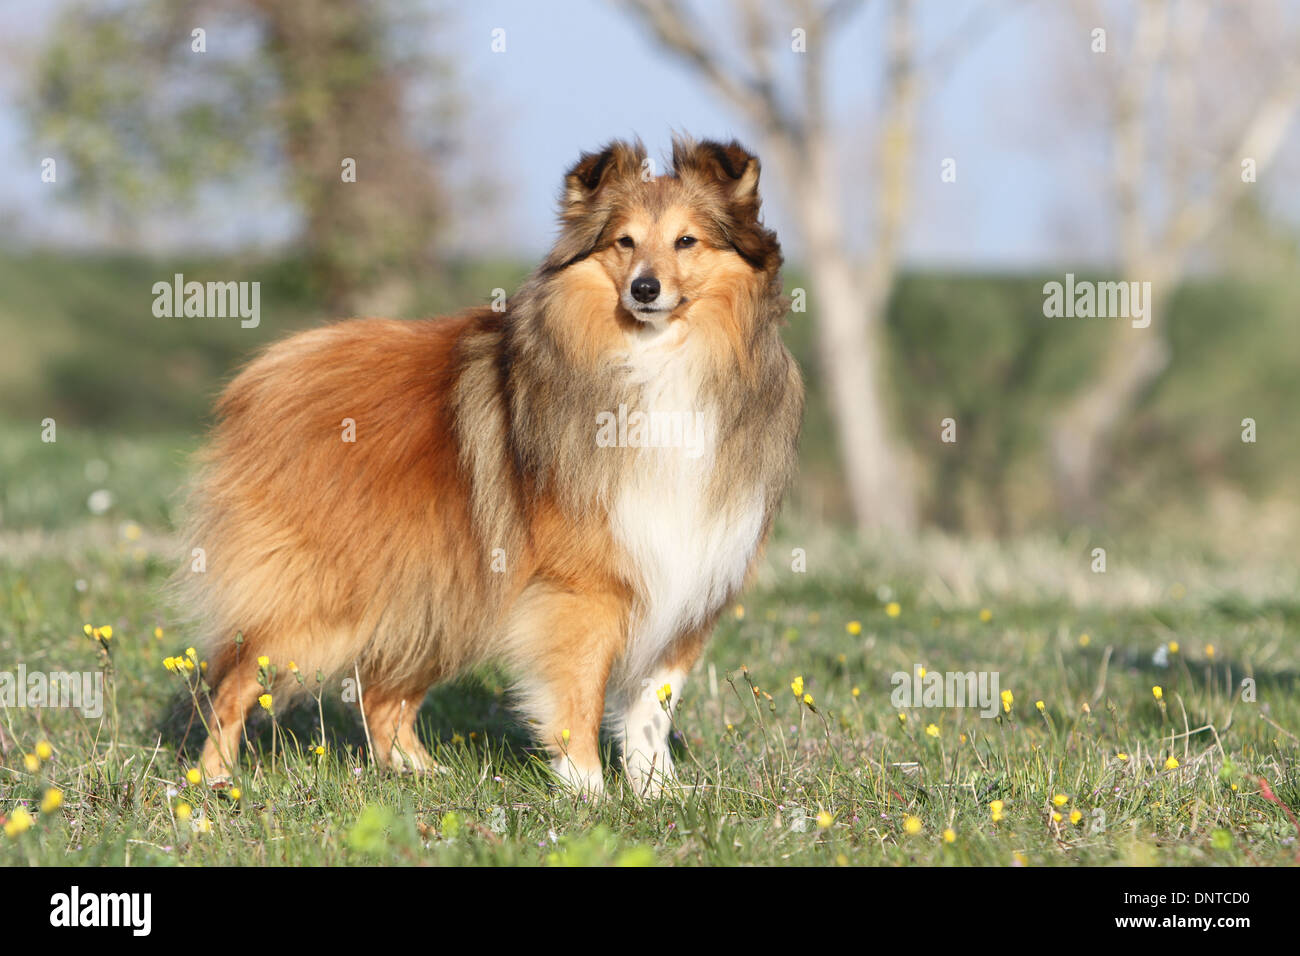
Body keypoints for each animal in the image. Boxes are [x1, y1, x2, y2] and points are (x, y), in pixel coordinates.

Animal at [176, 134, 795, 790]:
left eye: (687, 240)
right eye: (624, 241)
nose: (644, 290)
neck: (659, 364)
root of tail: (267, 371)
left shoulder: (686, 579)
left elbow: (652, 710)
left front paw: (658, 795)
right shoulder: (583, 591)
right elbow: (579, 695)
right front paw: (589, 791)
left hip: (441, 588)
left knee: (381, 697)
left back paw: (424, 776)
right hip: (325, 596)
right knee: (235, 685)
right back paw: (214, 781)